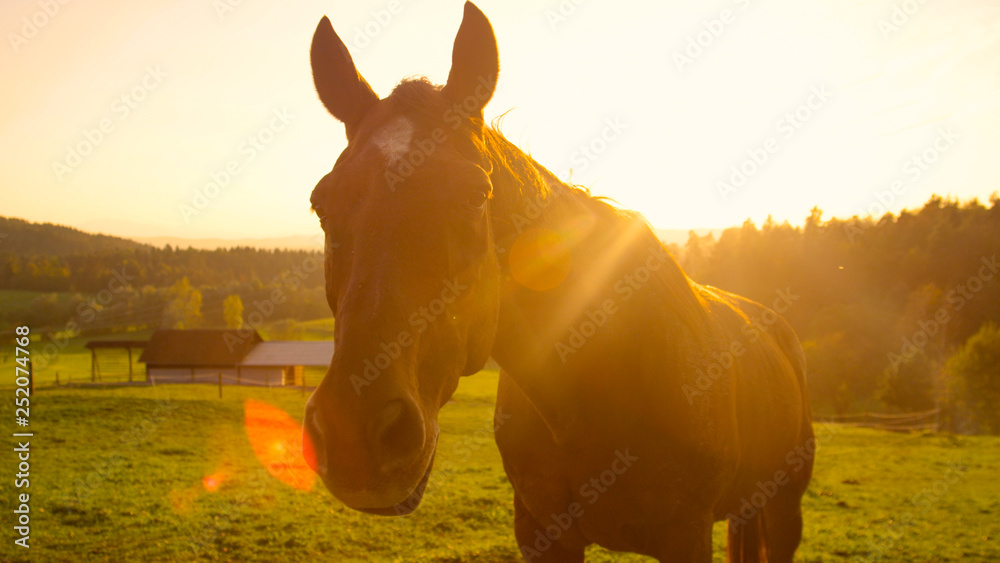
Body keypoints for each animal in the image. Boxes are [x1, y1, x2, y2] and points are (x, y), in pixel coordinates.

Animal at [302, 3, 812, 560]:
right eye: (321, 204)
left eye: (475, 195)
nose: (355, 436)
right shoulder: (542, 532)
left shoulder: (687, 537)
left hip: (782, 508)